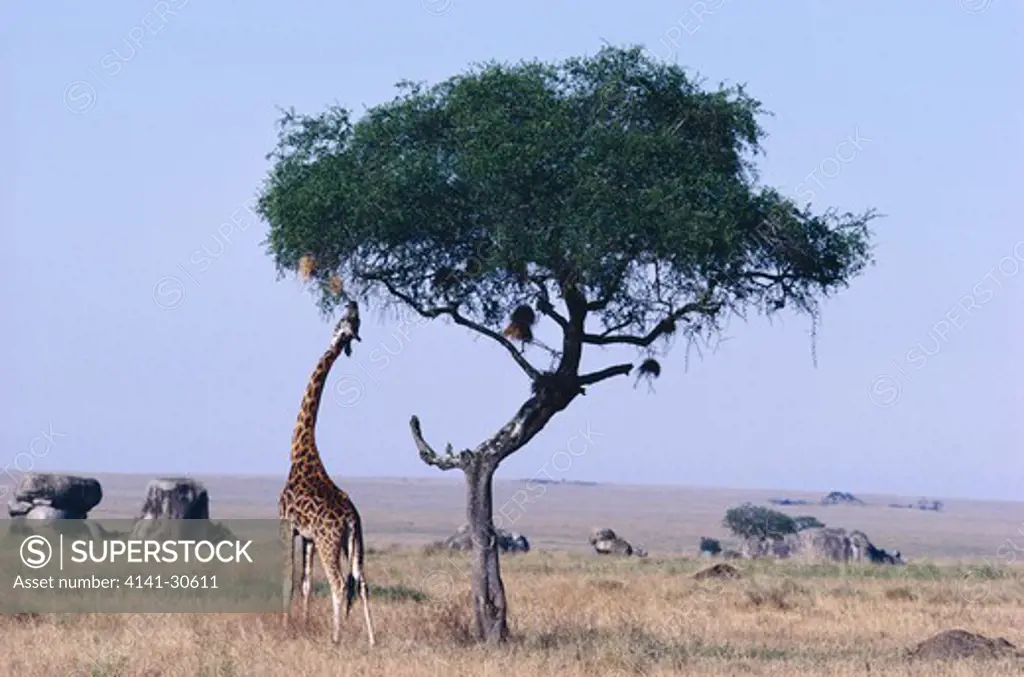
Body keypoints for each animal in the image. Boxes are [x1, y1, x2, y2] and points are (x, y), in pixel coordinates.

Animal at [278, 301, 378, 643]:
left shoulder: (287, 523)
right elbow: (306, 583)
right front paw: (304, 625)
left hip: (329, 541)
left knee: (338, 583)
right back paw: (372, 640)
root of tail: (349, 517)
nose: (351, 303)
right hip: (355, 540)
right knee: (361, 582)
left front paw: (285, 627)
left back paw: (336, 638)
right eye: (350, 319)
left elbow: (289, 580)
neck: (300, 450)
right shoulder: (307, 534)